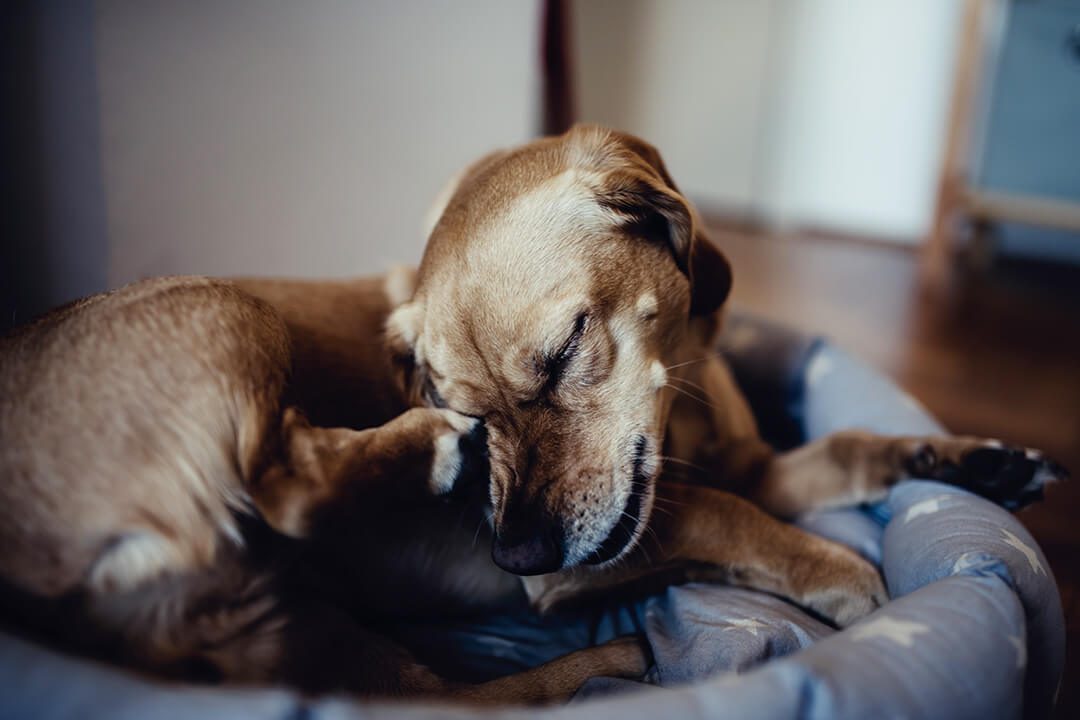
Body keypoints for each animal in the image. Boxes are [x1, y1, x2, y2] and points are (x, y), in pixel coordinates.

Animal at [0, 125, 1062, 703]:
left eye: (561, 357)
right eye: (454, 397)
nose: (512, 554)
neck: (681, 407)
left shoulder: (759, 466)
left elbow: (846, 445)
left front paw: (971, 461)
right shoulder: (607, 554)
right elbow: (732, 519)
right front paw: (841, 573)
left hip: (302, 627)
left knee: (437, 700)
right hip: (227, 310)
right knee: (293, 502)